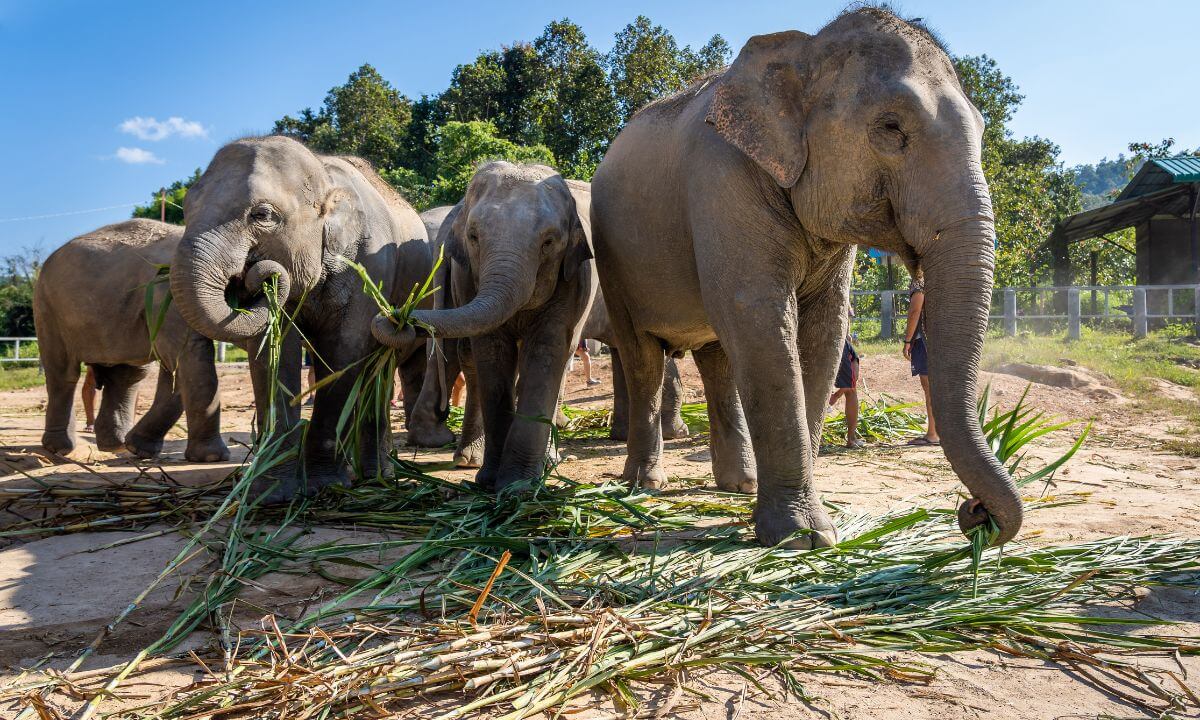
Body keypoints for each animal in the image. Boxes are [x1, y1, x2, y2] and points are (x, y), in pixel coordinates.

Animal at [34, 219, 229, 463]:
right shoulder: (169, 294)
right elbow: (186, 356)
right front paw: (212, 457)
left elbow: (175, 368)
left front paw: (139, 450)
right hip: (48, 309)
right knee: (63, 373)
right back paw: (59, 449)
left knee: (127, 375)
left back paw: (115, 445)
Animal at [169, 138, 432, 504]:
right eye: (186, 208)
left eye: (262, 215)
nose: (256, 275)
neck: (324, 176)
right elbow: (273, 355)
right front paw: (271, 492)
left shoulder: (371, 268)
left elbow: (344, 352)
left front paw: (325, 485)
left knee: (379, 369)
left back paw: (377, 478)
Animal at [590, 5, 1022, 549]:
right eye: (891, 127)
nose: (974, 513)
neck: (805, 49)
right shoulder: (721, 180)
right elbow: (759, 315)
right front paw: (802, 537)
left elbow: (824, 330)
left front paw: (810, 527)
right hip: (614, 261)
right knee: (643, 355)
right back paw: (643, 485)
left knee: (717, 358)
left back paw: (739, 484)